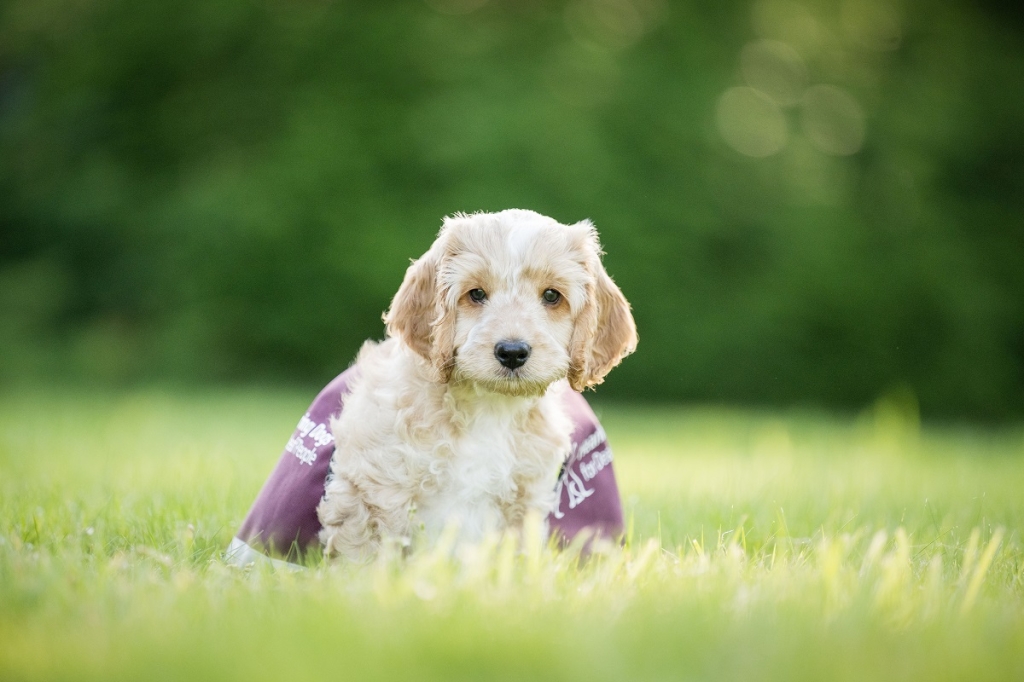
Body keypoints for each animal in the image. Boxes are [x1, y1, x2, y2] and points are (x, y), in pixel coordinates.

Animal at [315, 209, 634, 561]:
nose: (512, 352)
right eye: (476, 294)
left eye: (552, 295)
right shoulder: (372, 489)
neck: (489, 406)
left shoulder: (524, 500)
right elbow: (367, 557)